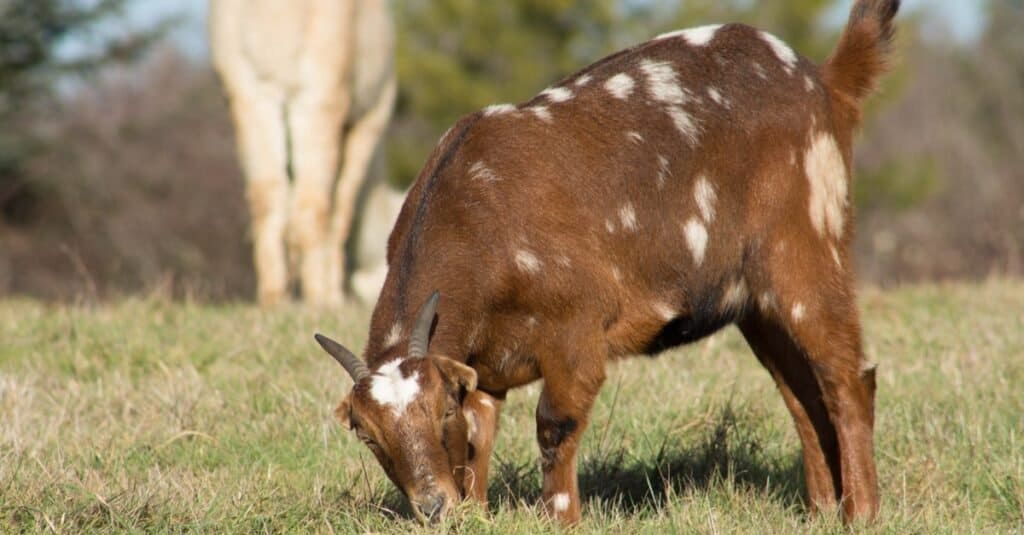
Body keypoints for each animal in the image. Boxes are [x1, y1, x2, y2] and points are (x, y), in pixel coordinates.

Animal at [315, 0, 901, 522]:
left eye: (440, 411)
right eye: (369, 435)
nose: (433, 507)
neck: (478, 215)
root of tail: (823, 82)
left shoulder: (576, 334)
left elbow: (554, 425)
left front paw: (561, 518)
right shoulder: (485, 362)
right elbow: (481, 432)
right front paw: (476, 512)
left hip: (807, 249)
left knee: (846, 379)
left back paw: (861, 513)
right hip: (755, 303)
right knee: (801, 393)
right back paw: (822, 510)